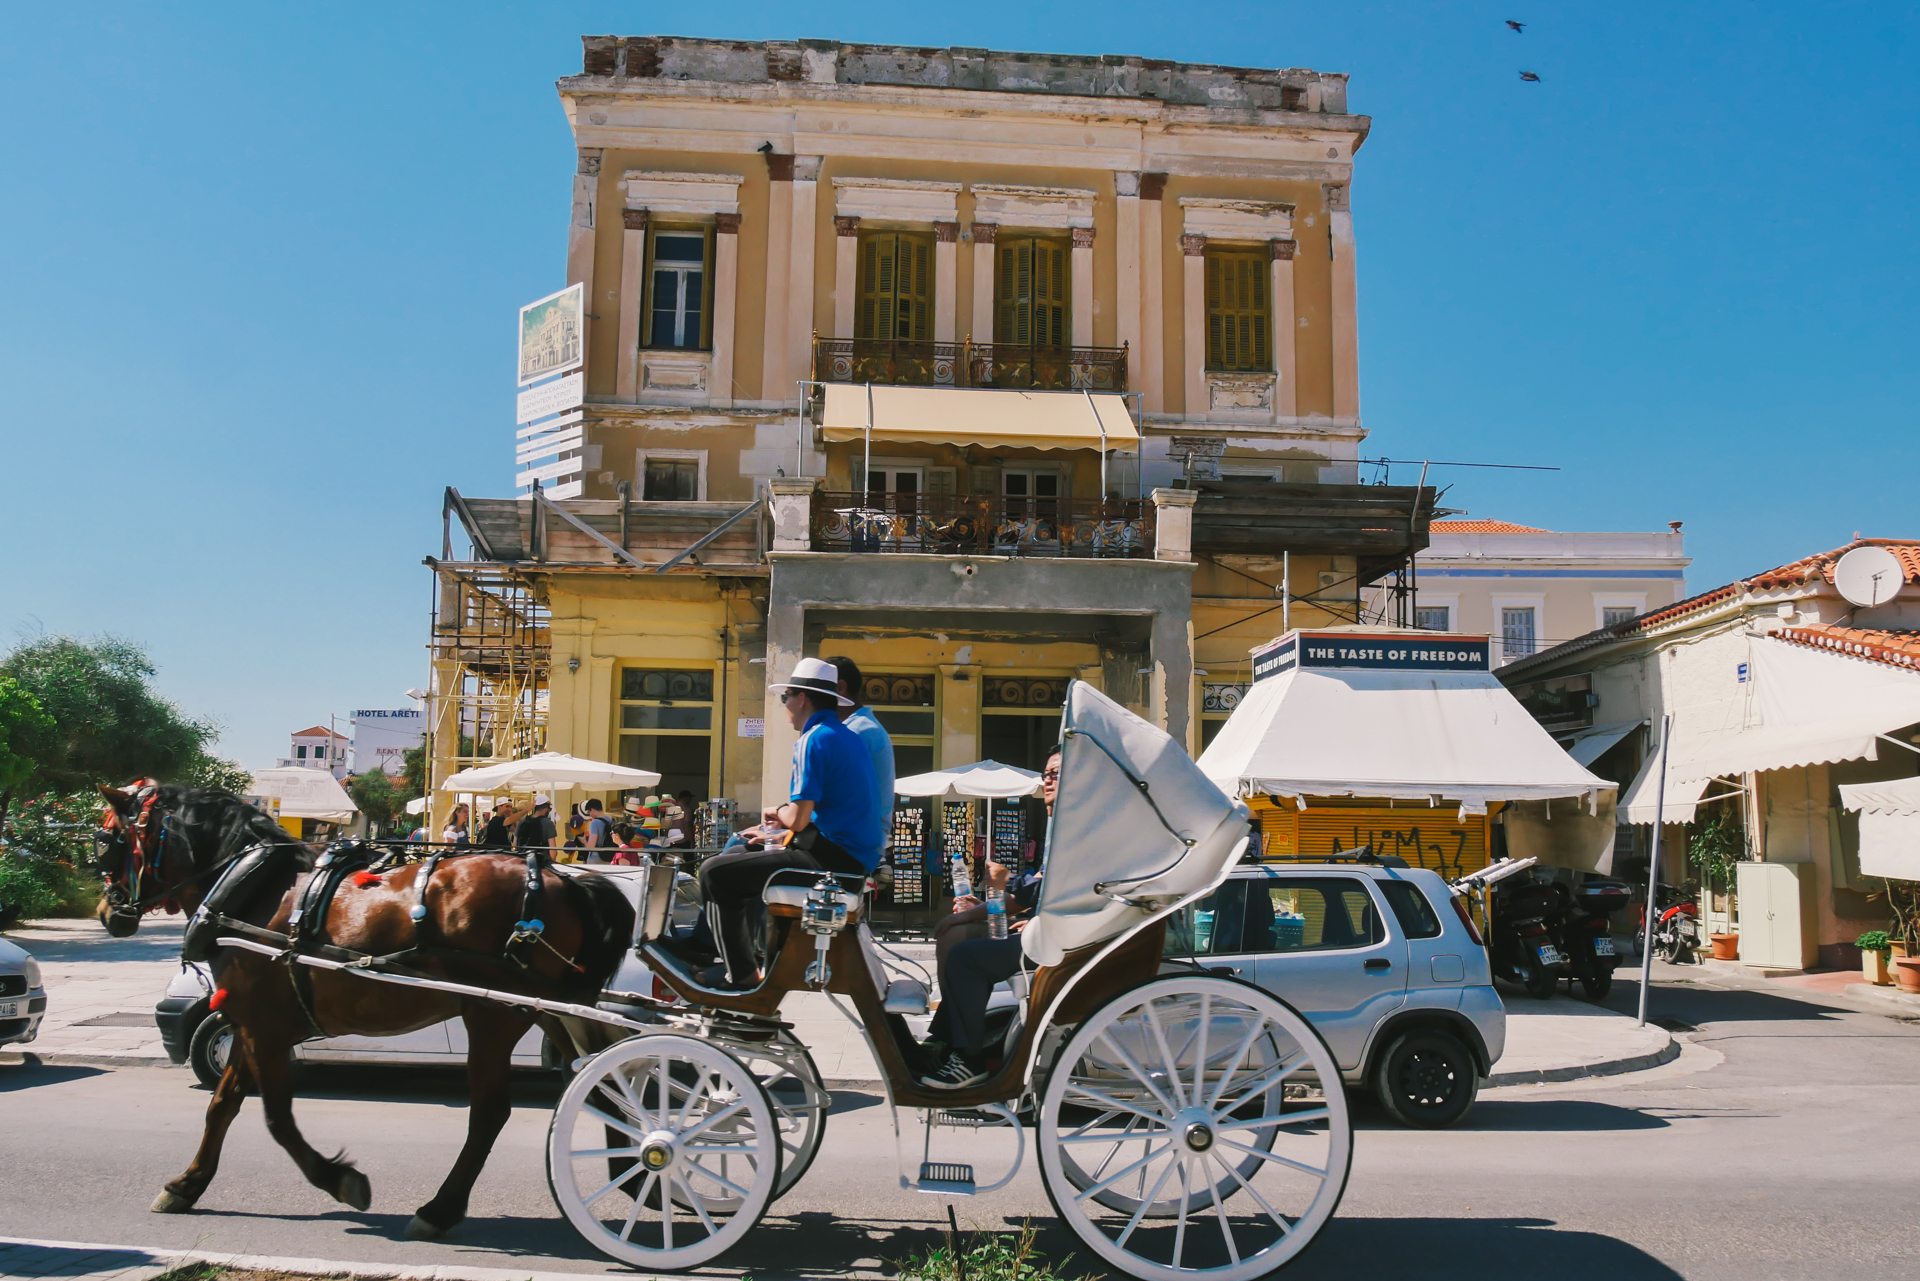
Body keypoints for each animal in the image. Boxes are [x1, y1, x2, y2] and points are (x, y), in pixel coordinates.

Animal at [97, 783, 629, 1244]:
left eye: (109, 840)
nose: (107, 910)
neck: (253, 890)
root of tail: (562, 879)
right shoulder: (252, 1026)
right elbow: (221, 1106)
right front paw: (187, 1185)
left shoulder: (263, 1030)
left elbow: (277, 1117)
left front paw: (340, 1180)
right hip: (546, 1009)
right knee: (603, 1082)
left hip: (493, 1014)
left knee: (492, 1111)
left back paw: (439, 1210)